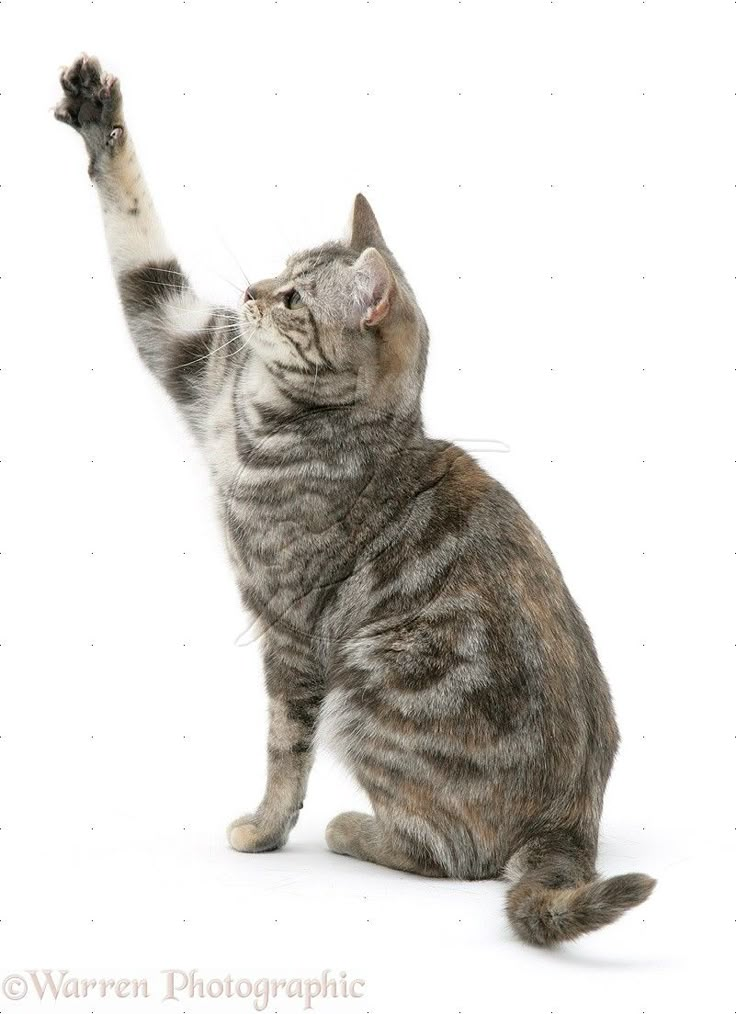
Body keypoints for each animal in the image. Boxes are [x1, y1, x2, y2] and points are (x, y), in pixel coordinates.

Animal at [56, 53, 656, 940]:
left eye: (295, 300)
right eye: (281, 271)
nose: (253, 292)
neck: (268, 410)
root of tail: (575, 818)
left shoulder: (290, 634)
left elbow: (284, 752)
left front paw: (265, 829)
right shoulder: (192, 350)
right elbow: (139, 239)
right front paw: (101, 120)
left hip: (365, 684)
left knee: (457, 854)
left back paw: (353, 828)